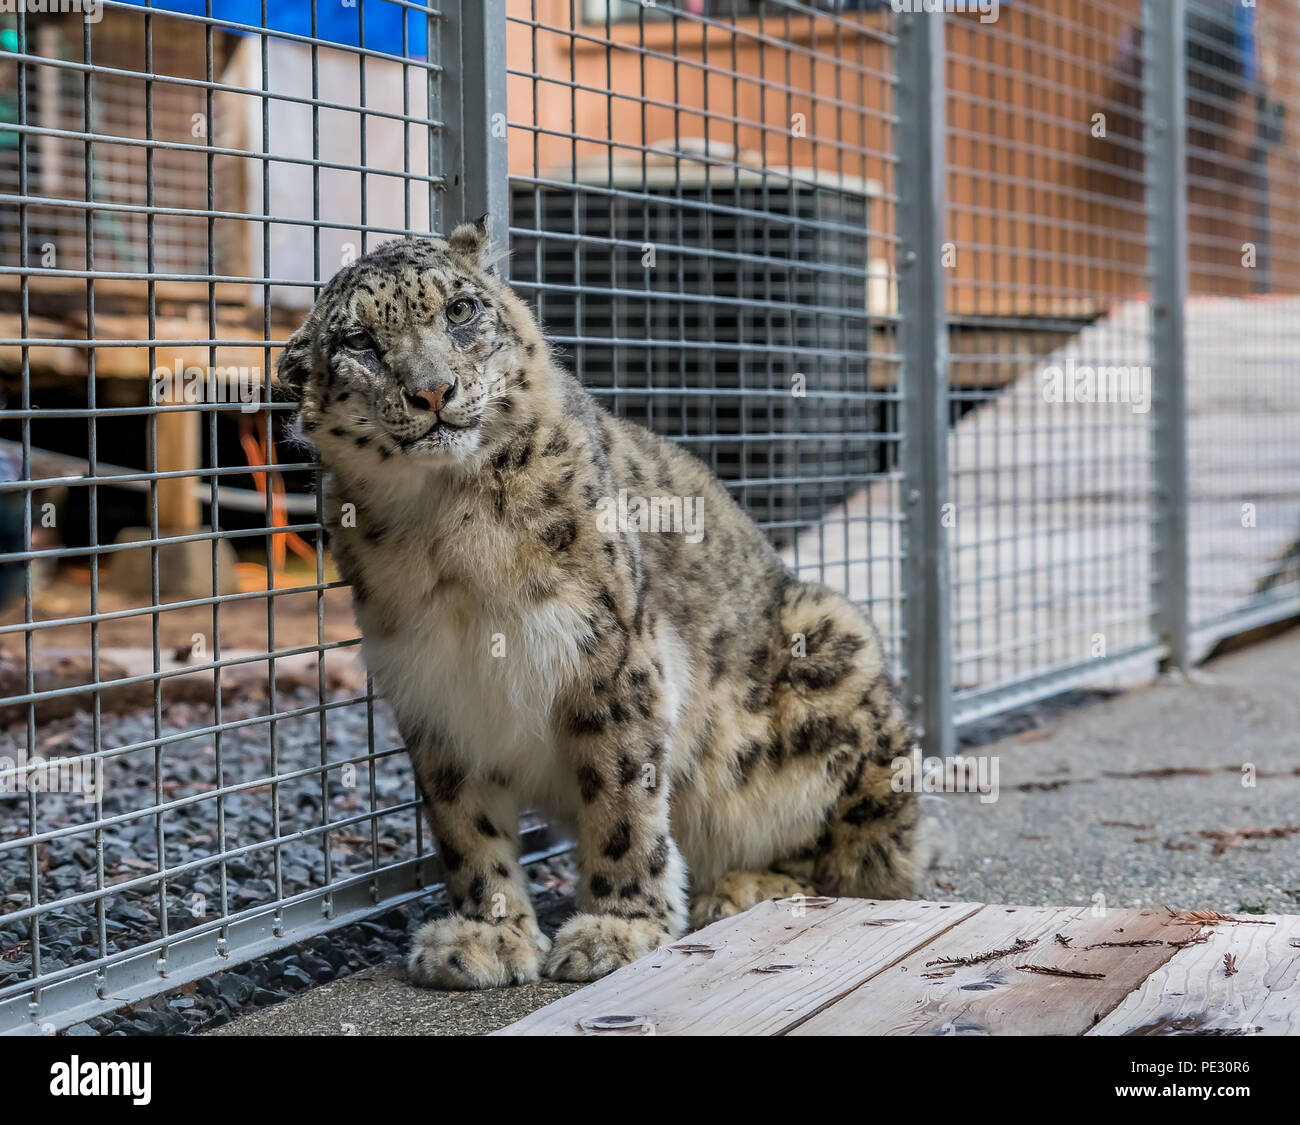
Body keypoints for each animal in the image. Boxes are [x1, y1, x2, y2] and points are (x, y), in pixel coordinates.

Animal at [274, 223, 925, 988]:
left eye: (461, 309)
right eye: (359, 343)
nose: (434, 390)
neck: (442, 528)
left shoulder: (611, 656)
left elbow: (623, 795)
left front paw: (619, 928)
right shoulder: (434, 689)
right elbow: (464, 823)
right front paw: (486, 935)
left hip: (831, 642)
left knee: (868, 860)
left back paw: (743, 887)